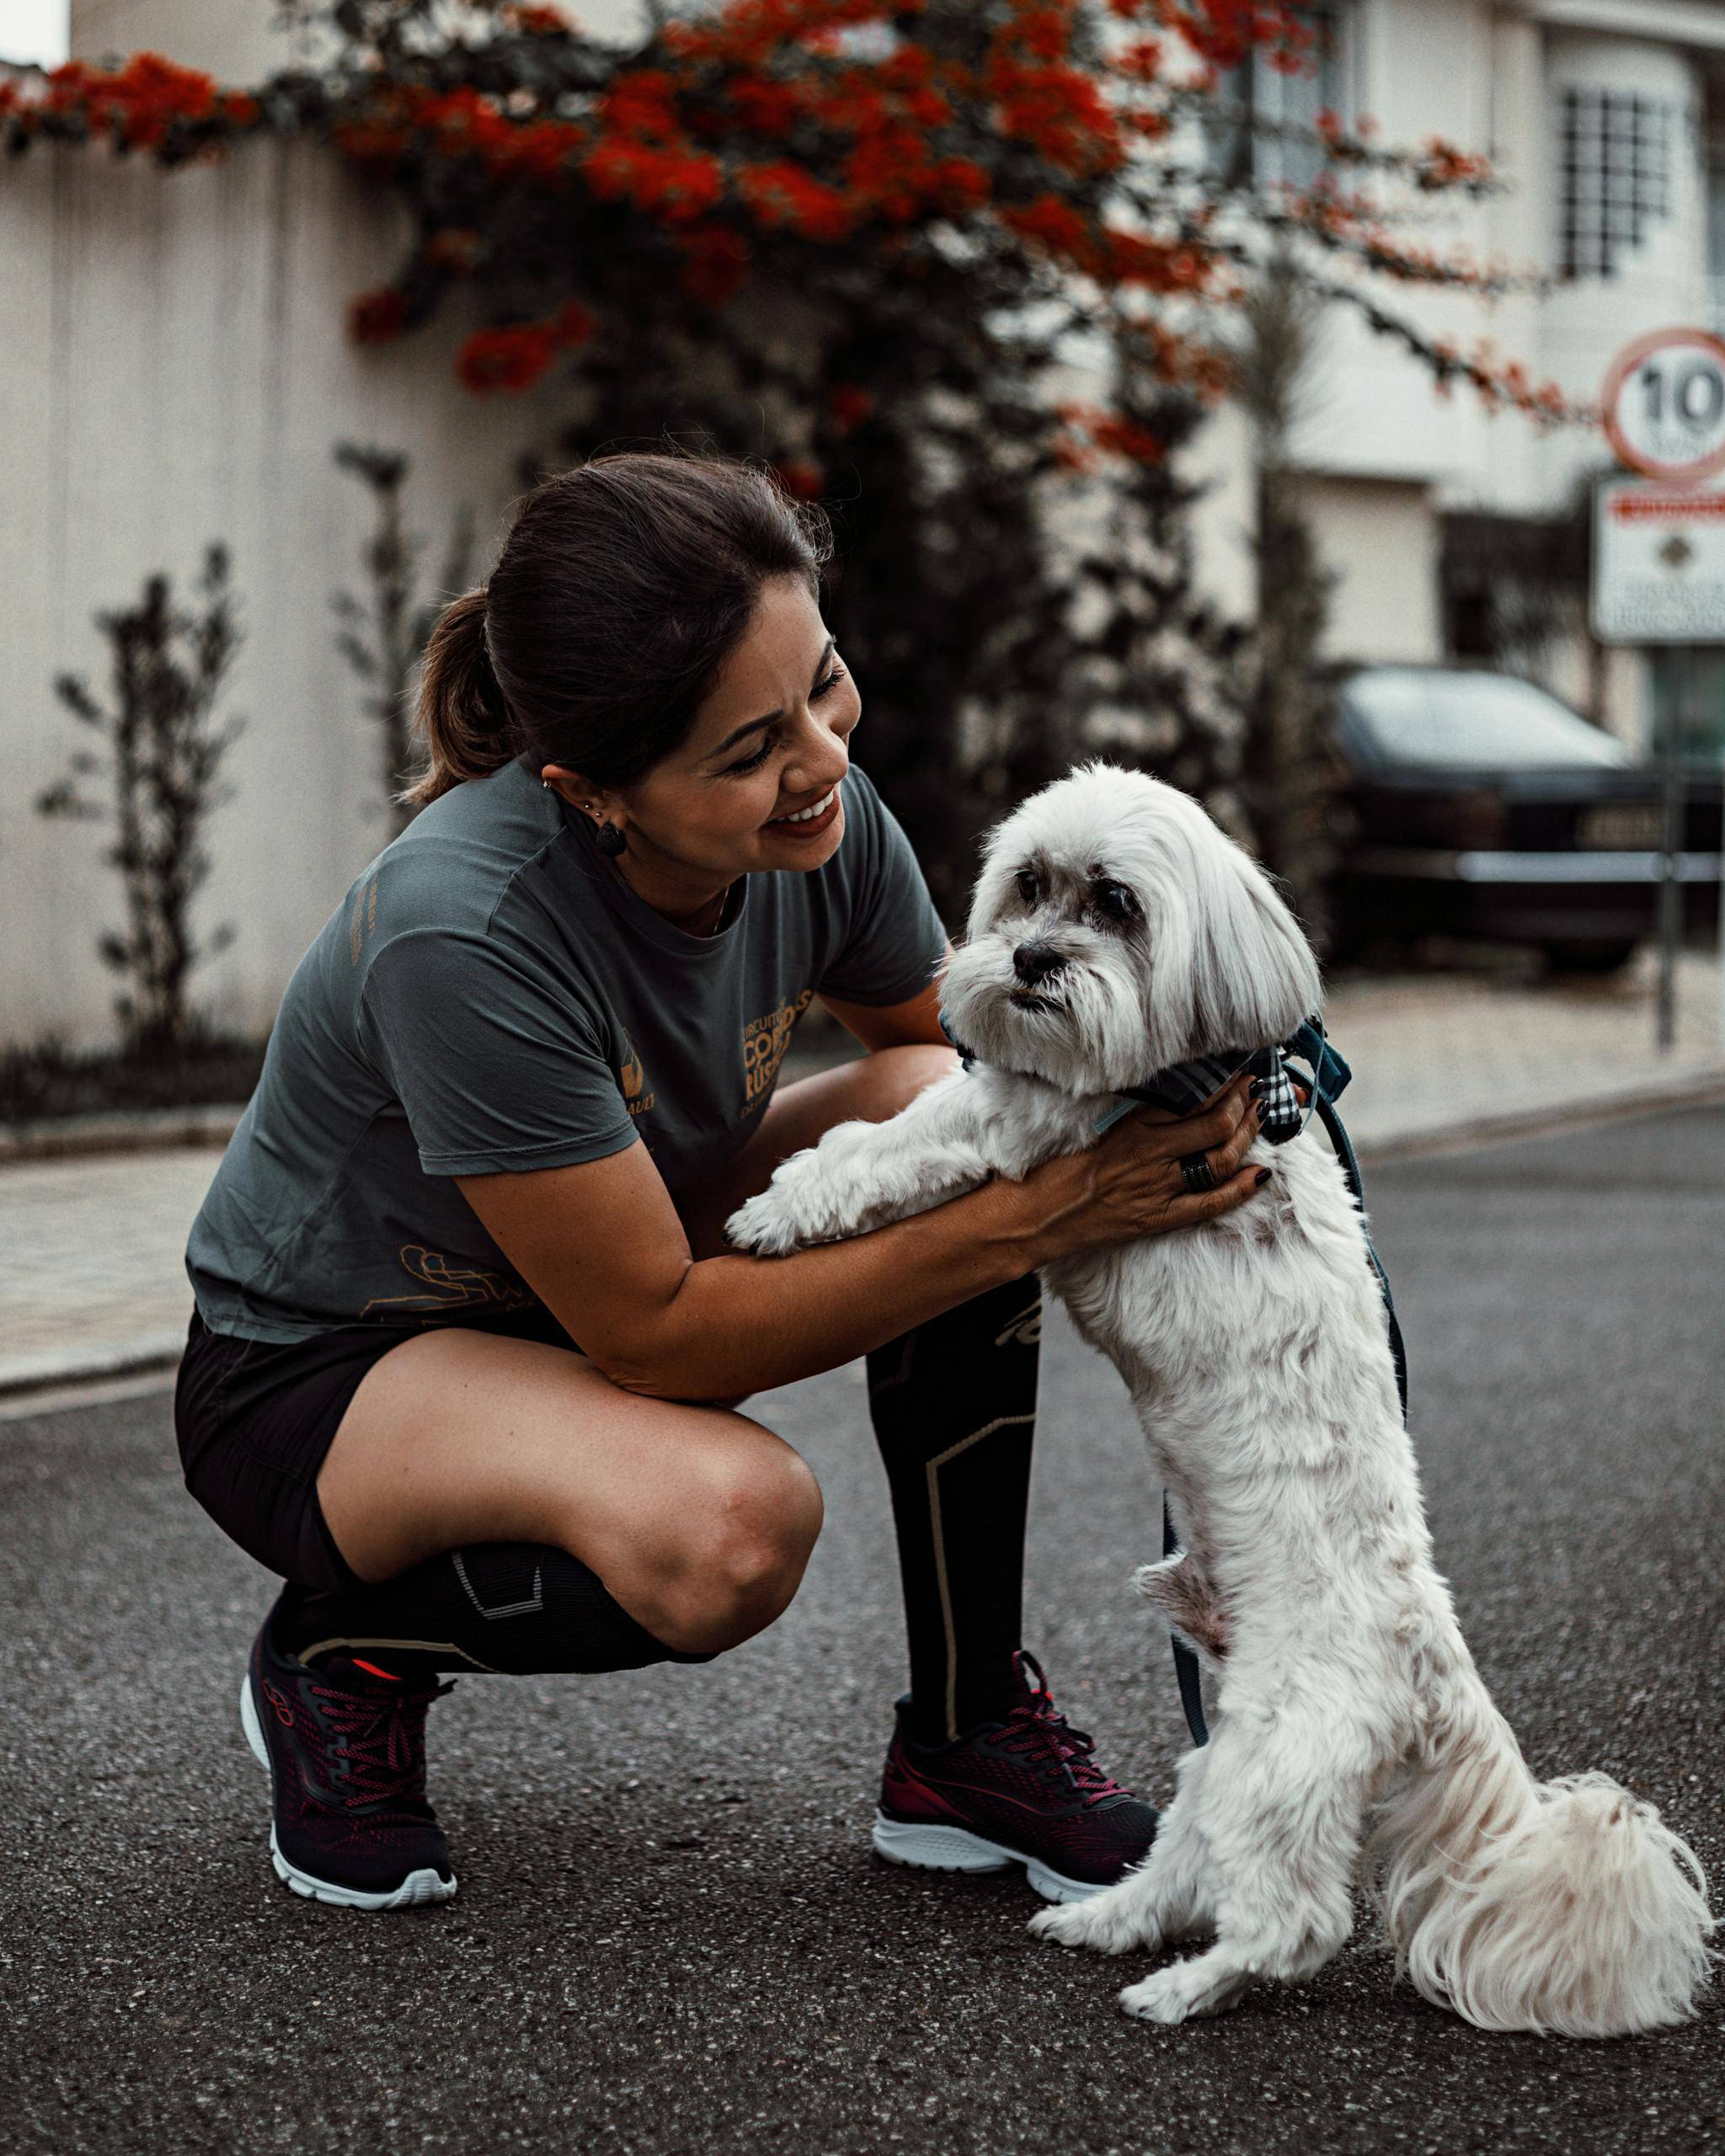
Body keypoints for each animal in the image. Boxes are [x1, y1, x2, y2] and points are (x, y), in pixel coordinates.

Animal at [729, 763, 1707, 2035]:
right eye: (1028, 885)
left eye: (1116, 905)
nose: (1032, 960)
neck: (1177, 1068)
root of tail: (1430, 1667)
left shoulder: (1022, 1130)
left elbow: (887, 1142)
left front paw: (777, 1209)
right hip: (1224, 1747)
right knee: (1188, 1860)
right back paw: (1106, 1920)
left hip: (1270, 1762)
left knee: (1291, 1923)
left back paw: (1183, 1988)